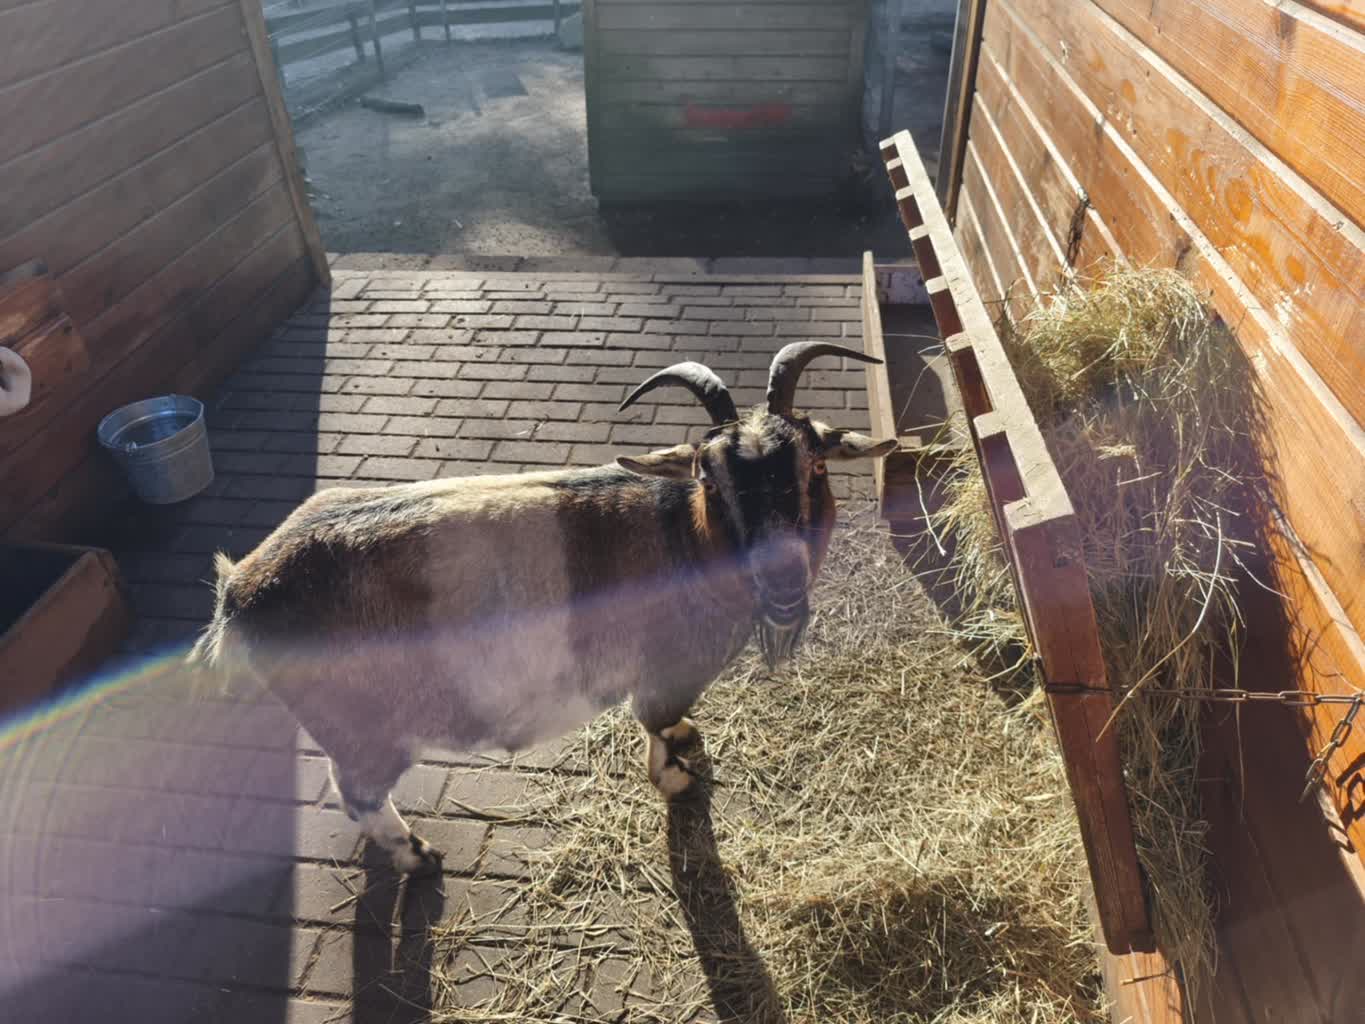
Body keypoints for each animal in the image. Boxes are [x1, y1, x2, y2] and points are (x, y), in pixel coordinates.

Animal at [189, 342, 895, 874]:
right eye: (709, 479)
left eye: (816, 468)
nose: (782, 581)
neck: (685, 539)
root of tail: (240, 591)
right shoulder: (663, 671)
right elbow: (655, 723)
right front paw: (675, 777)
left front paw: (685, 741)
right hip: (365, 730)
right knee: (356, 792)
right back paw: (417, 855)